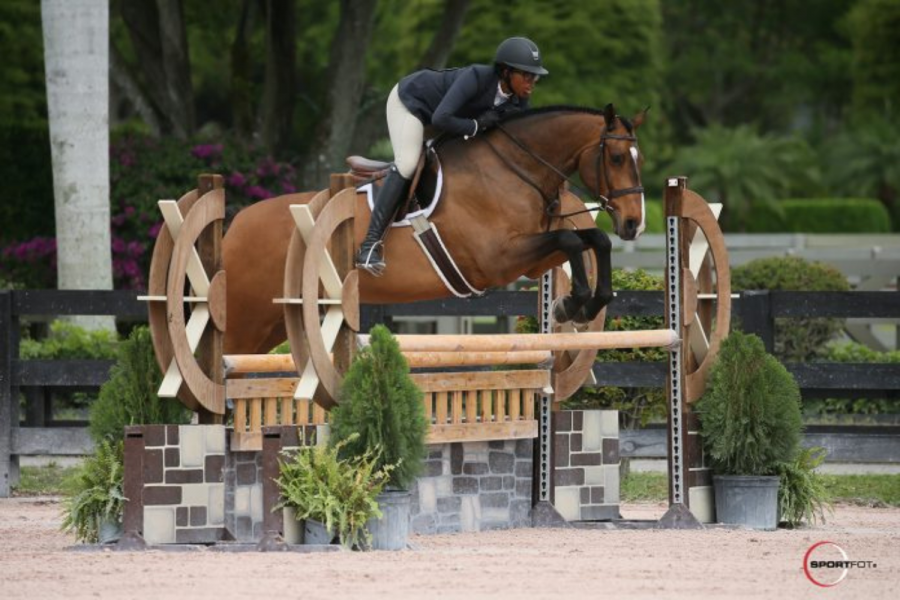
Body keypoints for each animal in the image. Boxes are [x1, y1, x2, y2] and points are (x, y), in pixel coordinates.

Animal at [225, 103, 648, 356]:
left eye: (637, 158)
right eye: (615, 157)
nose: (634, 223)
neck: (514, 169)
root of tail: (236, 225)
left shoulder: (528, 262)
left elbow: (592, 240)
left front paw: (583, 304)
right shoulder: (499, 260)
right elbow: (570, 238)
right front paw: (572, 303)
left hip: (274, 324)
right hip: (245, 321)